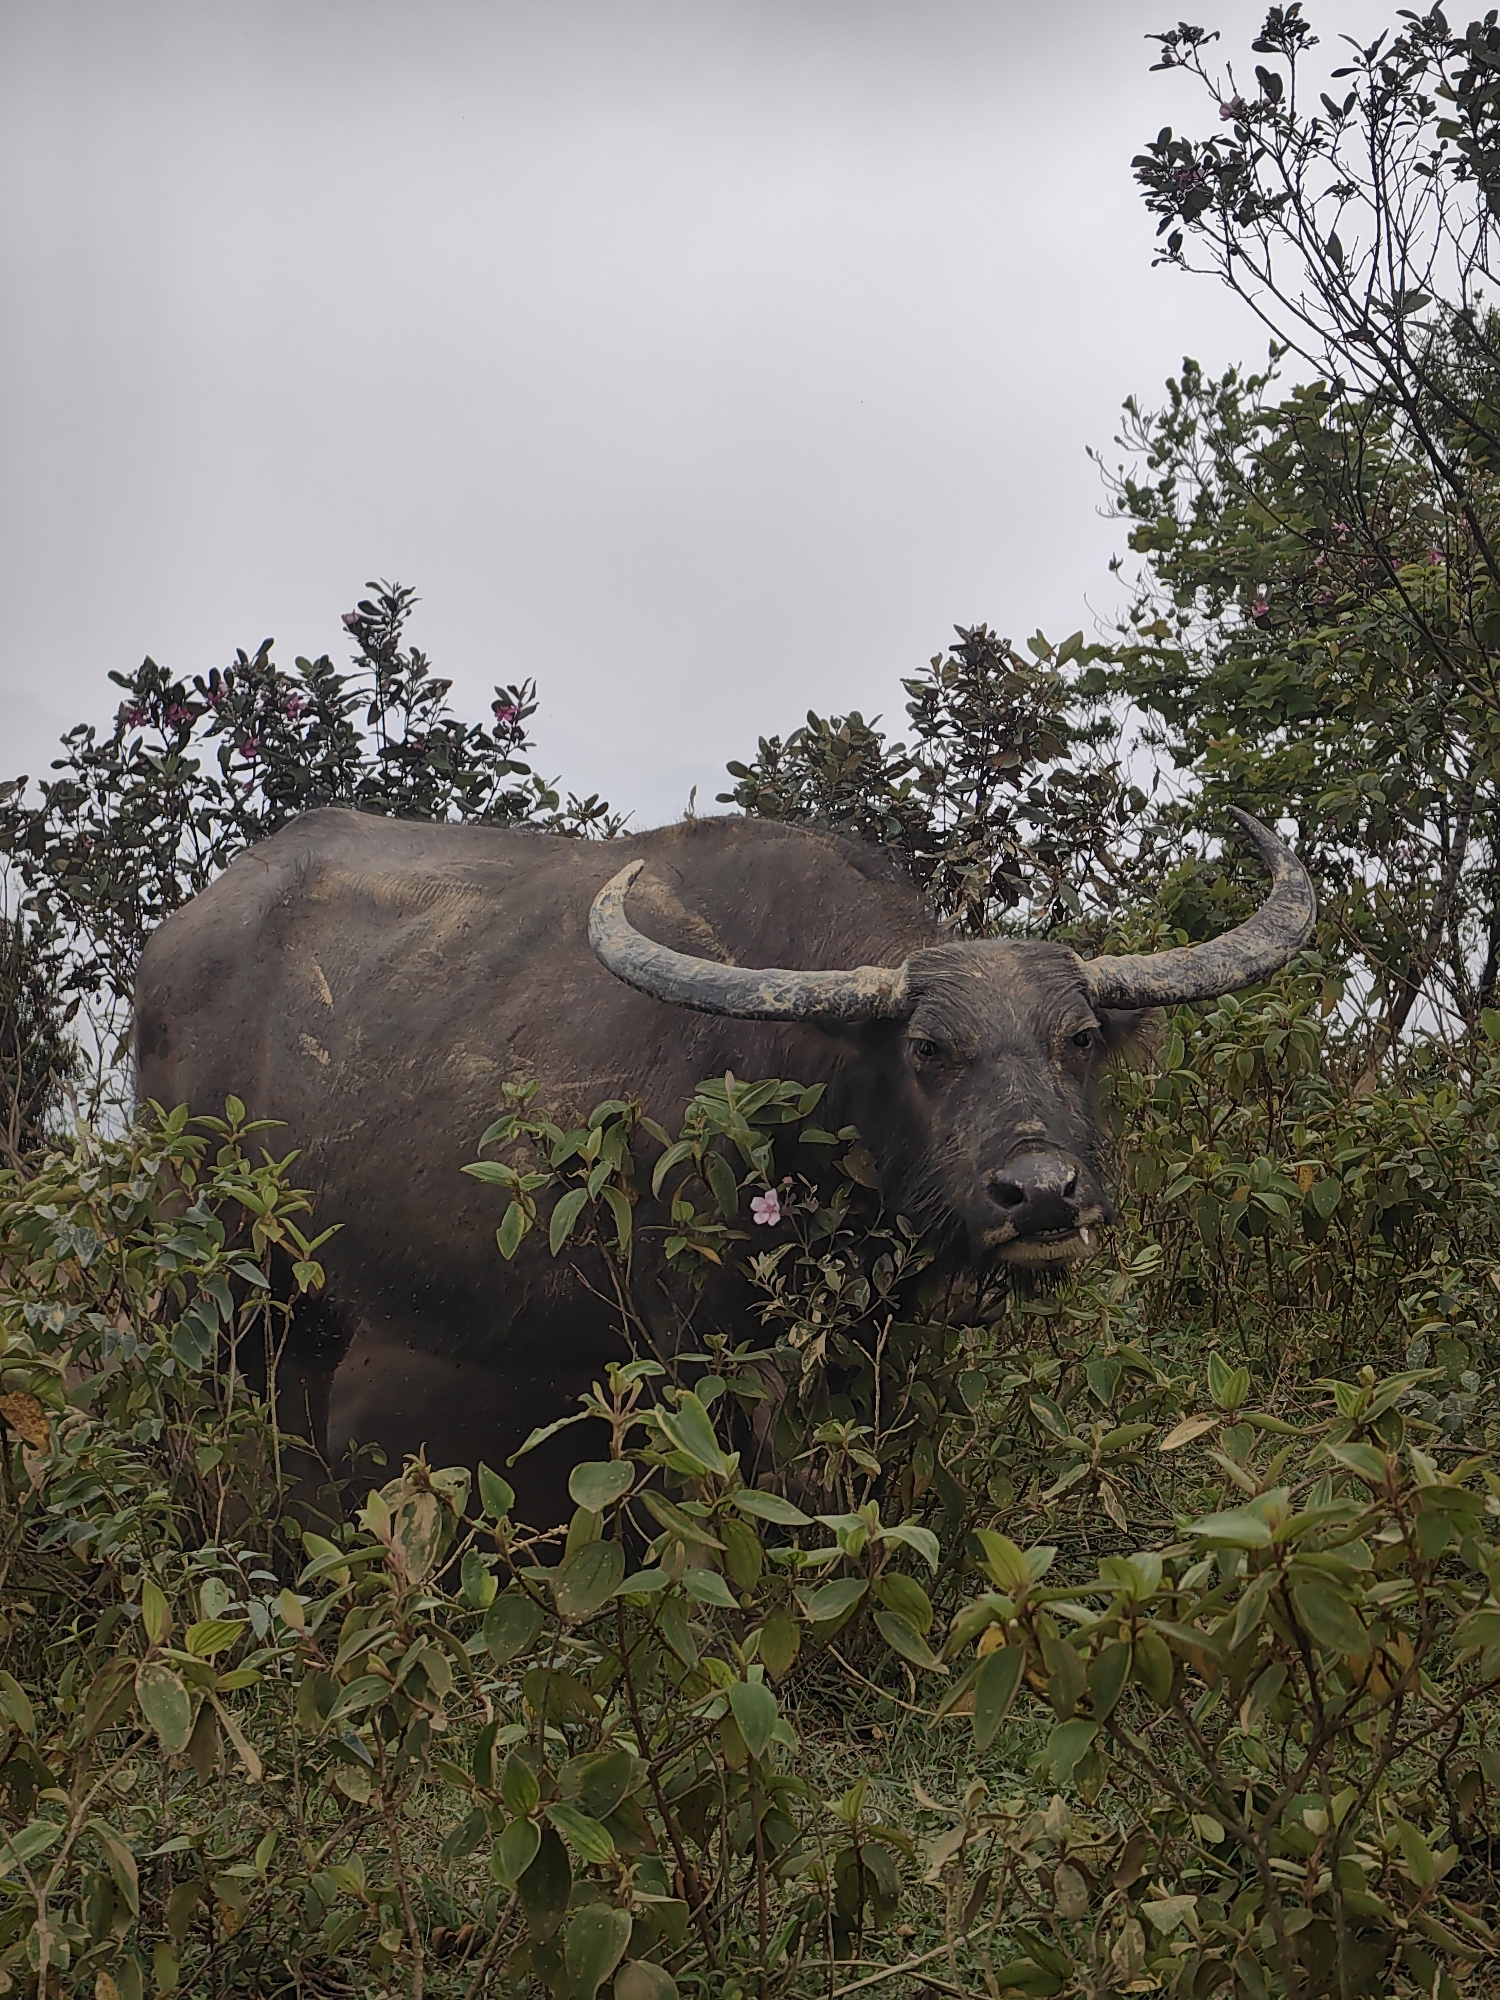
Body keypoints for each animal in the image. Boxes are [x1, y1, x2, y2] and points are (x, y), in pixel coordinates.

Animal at [133, 804, 1313, 1518]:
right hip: (219, 1273)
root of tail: (175, 942)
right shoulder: (694, 1338)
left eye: (1078, 1039)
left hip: (312, 1297)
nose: (1041, 1194)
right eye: (929, 1050)